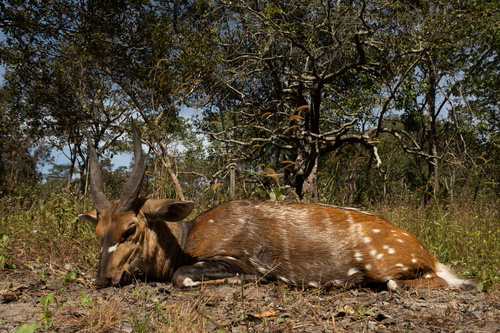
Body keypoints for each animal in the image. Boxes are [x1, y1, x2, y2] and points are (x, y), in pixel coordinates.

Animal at [79, 123, 472, 290]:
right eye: (97, 230)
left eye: (130, 228)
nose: (103, 279)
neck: (185, 237)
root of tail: (424, 249)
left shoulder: (236, 259)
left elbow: (182, 277)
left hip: (386, 268)